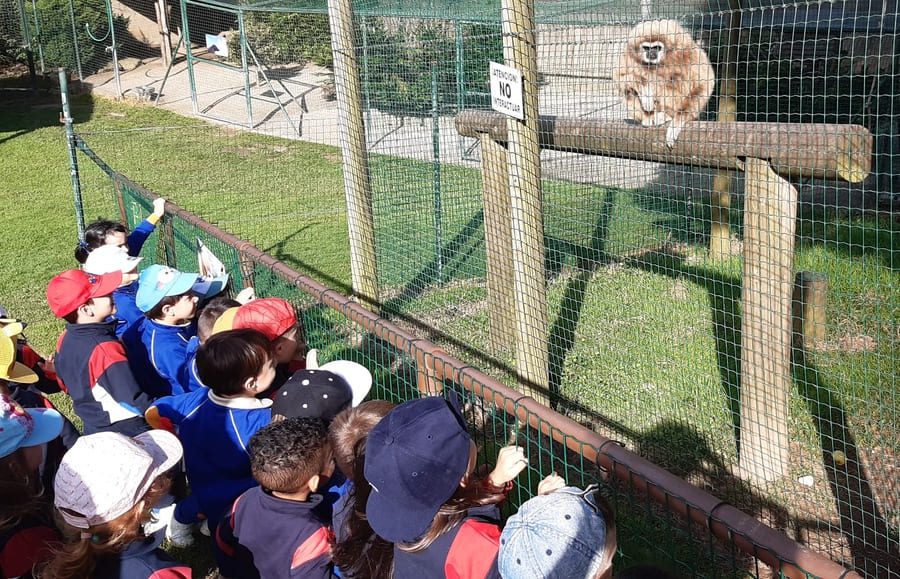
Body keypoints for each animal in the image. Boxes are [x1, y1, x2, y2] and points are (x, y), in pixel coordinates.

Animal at [612, 19, 716, 148]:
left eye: (657, 47)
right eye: (646, 48)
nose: (651, 54)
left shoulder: (686, 48)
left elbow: (703, 83)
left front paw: (678, 120)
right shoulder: (630, 53)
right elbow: (620, 76)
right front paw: (646, 93)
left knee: (675, 78)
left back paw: (667, 115)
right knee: (629, 88)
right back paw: (648, 117)